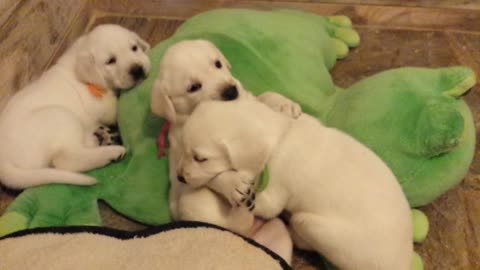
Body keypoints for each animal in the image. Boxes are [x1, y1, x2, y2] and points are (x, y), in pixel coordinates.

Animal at [0, 24, 150, 189]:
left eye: (134, 48)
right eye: (111, 61)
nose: (137, 70)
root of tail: (3, 162)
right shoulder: (106, 108)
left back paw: (101, 137)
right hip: (61, 115)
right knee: (65, 159)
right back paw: (110, 152)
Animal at [151, 39, 300, 237]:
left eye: (217, 63)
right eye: (193, 87)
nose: (231, 91)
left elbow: (263, 97)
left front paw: (283, 104)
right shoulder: (186, 164)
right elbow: (208, 175)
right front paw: (233, 184)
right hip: (195, 203)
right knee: (235, 223)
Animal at [178, 98, 414, 270]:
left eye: (201, 158)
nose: (180, 177)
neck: (281, 133)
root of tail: (403, 261)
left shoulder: (272, 196)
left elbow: (225, 182)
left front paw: (230, 184)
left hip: (309, 224)